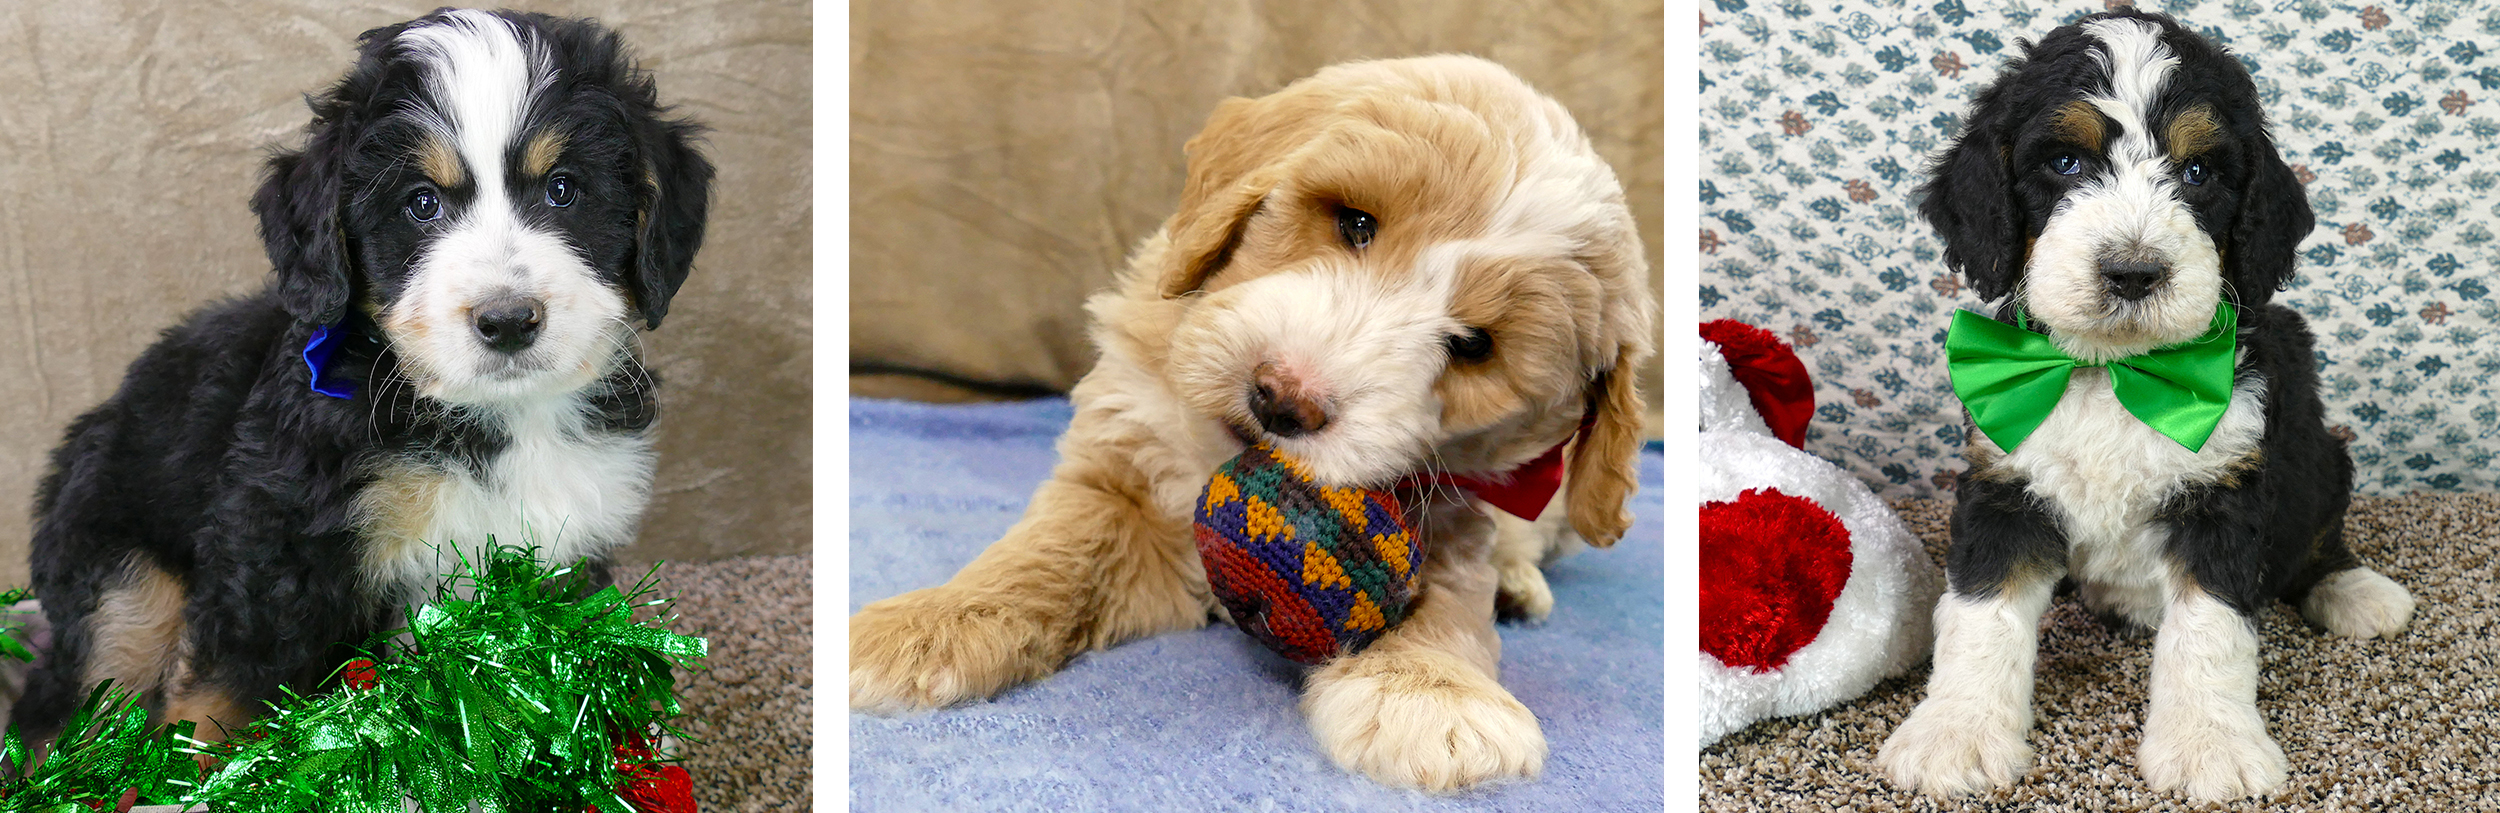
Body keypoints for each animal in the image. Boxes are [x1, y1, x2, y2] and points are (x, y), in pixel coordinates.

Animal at [12, 7, 715, 745]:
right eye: (422, 204)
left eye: (563, 189)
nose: (508, 320)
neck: (497, 420)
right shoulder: (279, 542)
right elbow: (224, 693)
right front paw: (202, 768)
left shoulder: (561, 556)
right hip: (120, 576)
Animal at [850, 58, 1650, 790]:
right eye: (1356, 224)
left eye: (1477, 345)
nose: (1283, 398)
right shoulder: (1121, 471)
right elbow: (1050, 552)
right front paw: (926, 627)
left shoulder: (1451, 516)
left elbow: (1443, 601)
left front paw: (1431, 694)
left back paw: (1517, 586)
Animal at [1880, 9, 2420, 800]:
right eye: (2064, 162)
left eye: (2197, 173)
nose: (2133, 272)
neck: (2117, 372)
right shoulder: (2004, 482)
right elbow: (1981, 611)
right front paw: (1956, 733)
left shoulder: (2225, 489)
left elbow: (2210, 629)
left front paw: (2209, 745)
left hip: (2320, 453)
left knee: (2317, 539)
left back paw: (2355, 591)